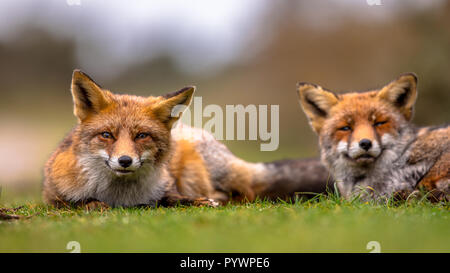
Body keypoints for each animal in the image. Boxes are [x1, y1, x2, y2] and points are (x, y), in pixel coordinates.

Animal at [42, 69, 330, 207]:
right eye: (106, 135)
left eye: (142, 135)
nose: (124, 161)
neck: (121, 197)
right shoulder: (53, 195)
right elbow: (80, 203)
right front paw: (95, 204)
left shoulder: (167, 186)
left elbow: (172, 198)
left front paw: (198, 202)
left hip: (198, 169)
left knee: (243, 194)